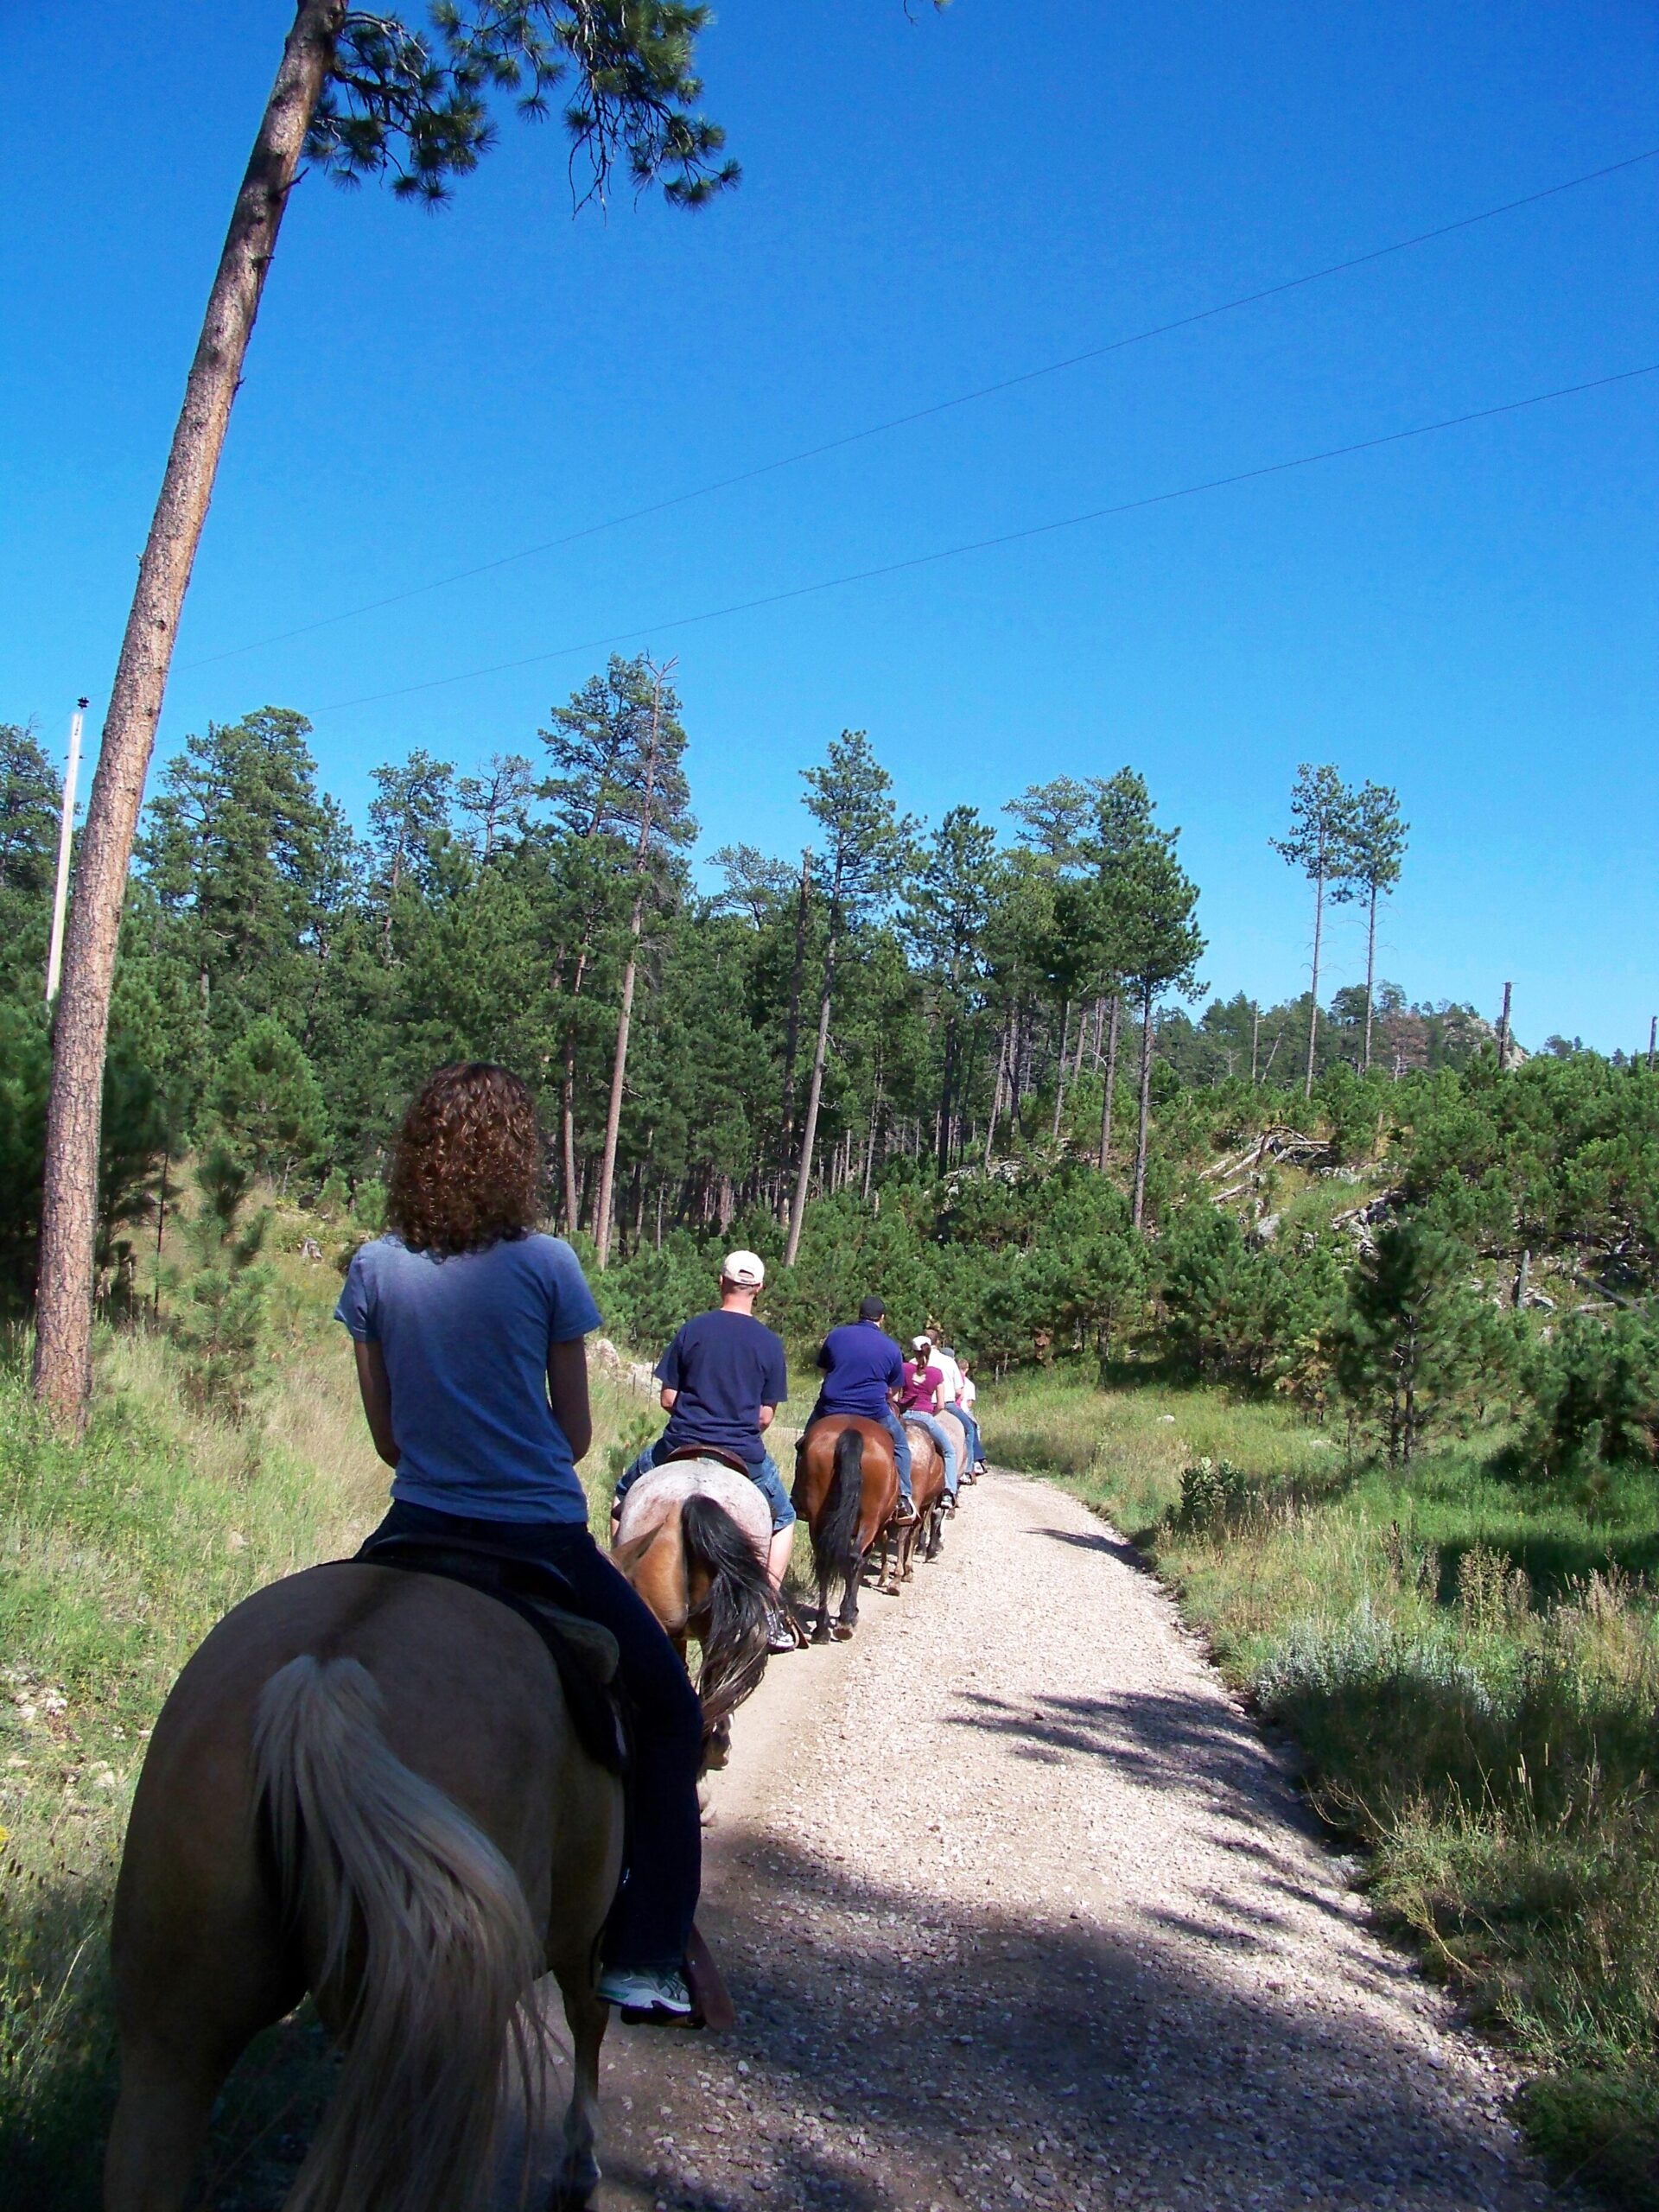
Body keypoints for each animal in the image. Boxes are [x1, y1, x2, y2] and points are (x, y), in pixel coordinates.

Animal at [787, 1415, 898, 1645]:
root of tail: (852, 1431)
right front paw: (851, 1614)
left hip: (818, 1520)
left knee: (823, 1562)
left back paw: (821, 1629)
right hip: (870, 1520)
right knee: (854, 1559)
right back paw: (845, 1623)